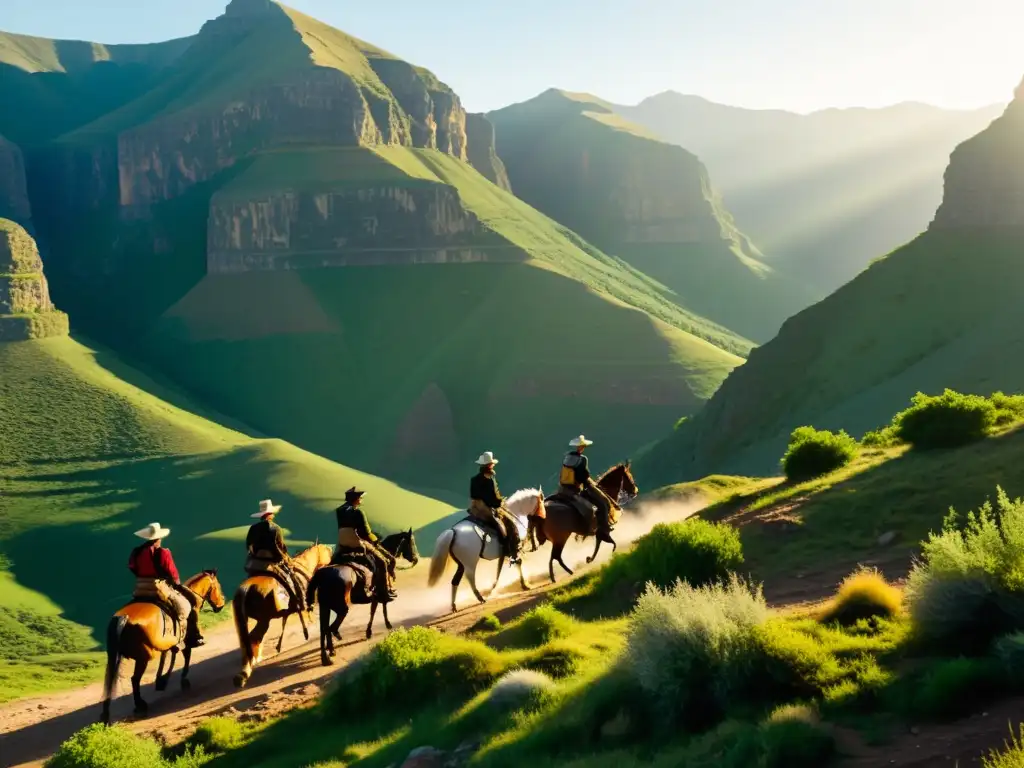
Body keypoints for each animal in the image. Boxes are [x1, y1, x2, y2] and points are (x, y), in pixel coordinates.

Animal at [99, 573, 226, 729]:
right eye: (218, 586)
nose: (221, 604)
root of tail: (124, 618)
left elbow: (169, 656)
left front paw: (162, 680)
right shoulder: (186, 638)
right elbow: (186, 655)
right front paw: (183, 680)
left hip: (116, 656)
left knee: (110, 680)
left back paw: (106, 716)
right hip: (143, 657)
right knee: (135, 679)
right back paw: (140, 706)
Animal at [303, 528, 419, 667]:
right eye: (411, 542)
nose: (415, 559)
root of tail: (321, 575)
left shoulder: (375, 596)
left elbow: (378, 609)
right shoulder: (378, 594)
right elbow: (378, 609)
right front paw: (377, 628)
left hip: (325, 607)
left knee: (323, 629)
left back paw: (326, 657)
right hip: (341, 608)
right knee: (331, 628)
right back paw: (331, 650)